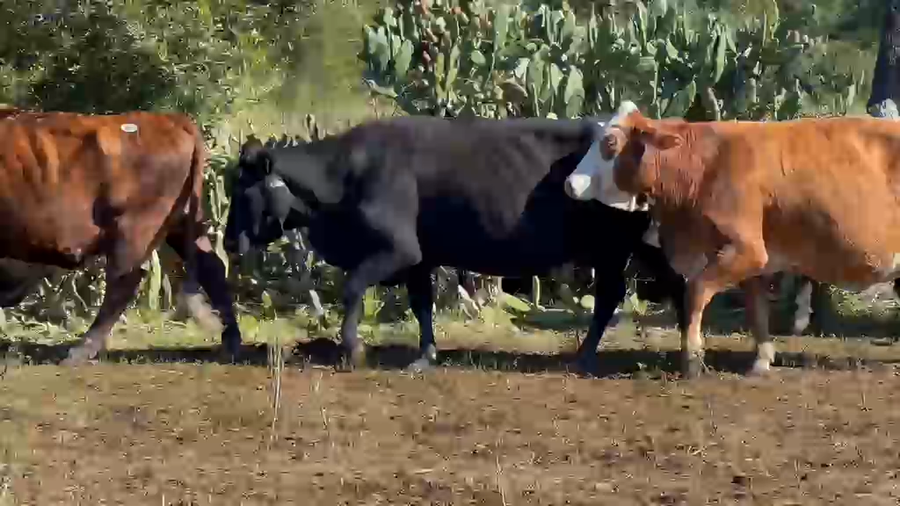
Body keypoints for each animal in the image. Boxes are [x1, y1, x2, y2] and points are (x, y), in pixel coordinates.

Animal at [0, 109, 242, 364]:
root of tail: (171, 119)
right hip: (182, 223)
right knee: (211, 267)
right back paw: (231, 341)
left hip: (132, 229)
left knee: (124, 281)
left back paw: (80, 351)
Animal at [223, 114, 687, 375]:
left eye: (244, 191)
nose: (228, 242)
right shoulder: (419, 259)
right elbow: (421, 305)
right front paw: (424, 356)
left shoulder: (398, 250)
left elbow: (353, 288)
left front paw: (353, 349)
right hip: (635, 244)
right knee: (665, 285)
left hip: (614, 247)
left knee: (617, 293)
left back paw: (588, 356)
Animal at [565, 100, 900, 378]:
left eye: (610, 142)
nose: (570, 183)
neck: (704, 164)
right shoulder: (749, 260)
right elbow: (756, 309)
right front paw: (761, 360)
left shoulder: (747, 250)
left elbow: (696, 292)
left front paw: (692, 358)